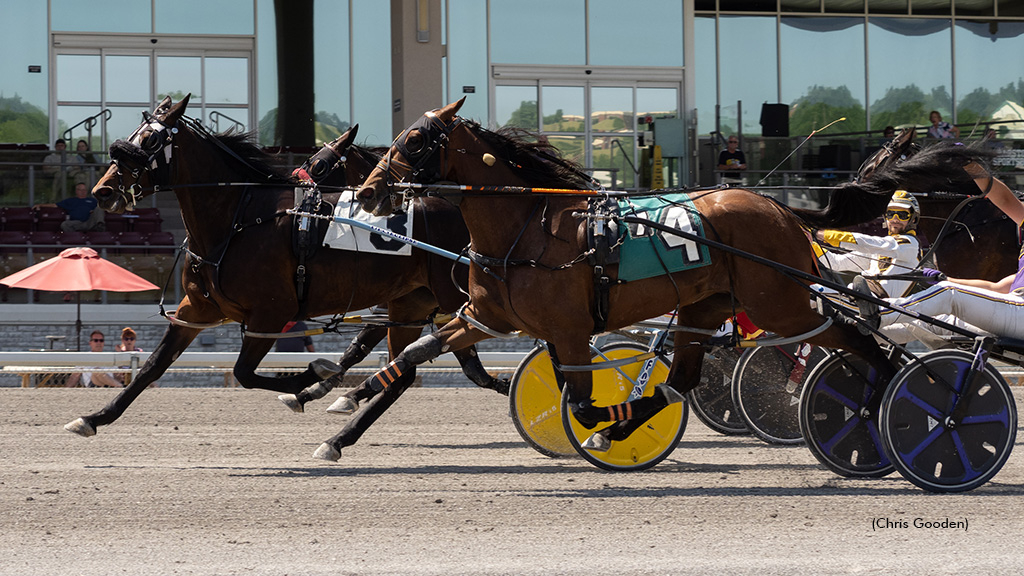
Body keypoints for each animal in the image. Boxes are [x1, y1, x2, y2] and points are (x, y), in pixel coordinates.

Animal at [62, 94, 503, 436]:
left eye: (151, 139)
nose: (102, 191)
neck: (237, 220)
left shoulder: (271, 313)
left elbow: (245, 373)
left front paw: (315, 376)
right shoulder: (196, 310)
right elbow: (152, 367)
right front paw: (93, 417)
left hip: (456, 301)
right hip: (413, 302)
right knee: (415, 371)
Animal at [309, 97, 983, 457]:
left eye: (415, 140)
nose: (366, 194)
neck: (527, 225)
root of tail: (780, 208)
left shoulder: (567, 329)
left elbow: (581, 400)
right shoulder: (486, 317)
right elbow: (415, 353)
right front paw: (337, 405)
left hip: (784, 303)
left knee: (865, 345)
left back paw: (912, 407)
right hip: (706, 308)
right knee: (683, 376)